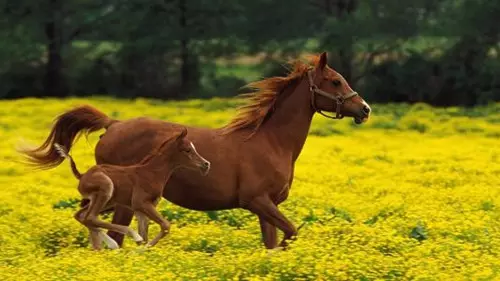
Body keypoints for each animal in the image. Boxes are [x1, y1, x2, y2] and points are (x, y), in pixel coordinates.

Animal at [53, 128, 210, 248]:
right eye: (188, 150)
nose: (206, 164)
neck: (152, 173)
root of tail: (82, 176)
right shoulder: (140, 203)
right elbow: (165, 226)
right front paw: (141, 249)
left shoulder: (141, 208)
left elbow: (146, 234)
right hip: (106, 188)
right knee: (90, 217)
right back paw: (120, 241)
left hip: (107, 200)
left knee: (82, 216)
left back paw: (101, 248)